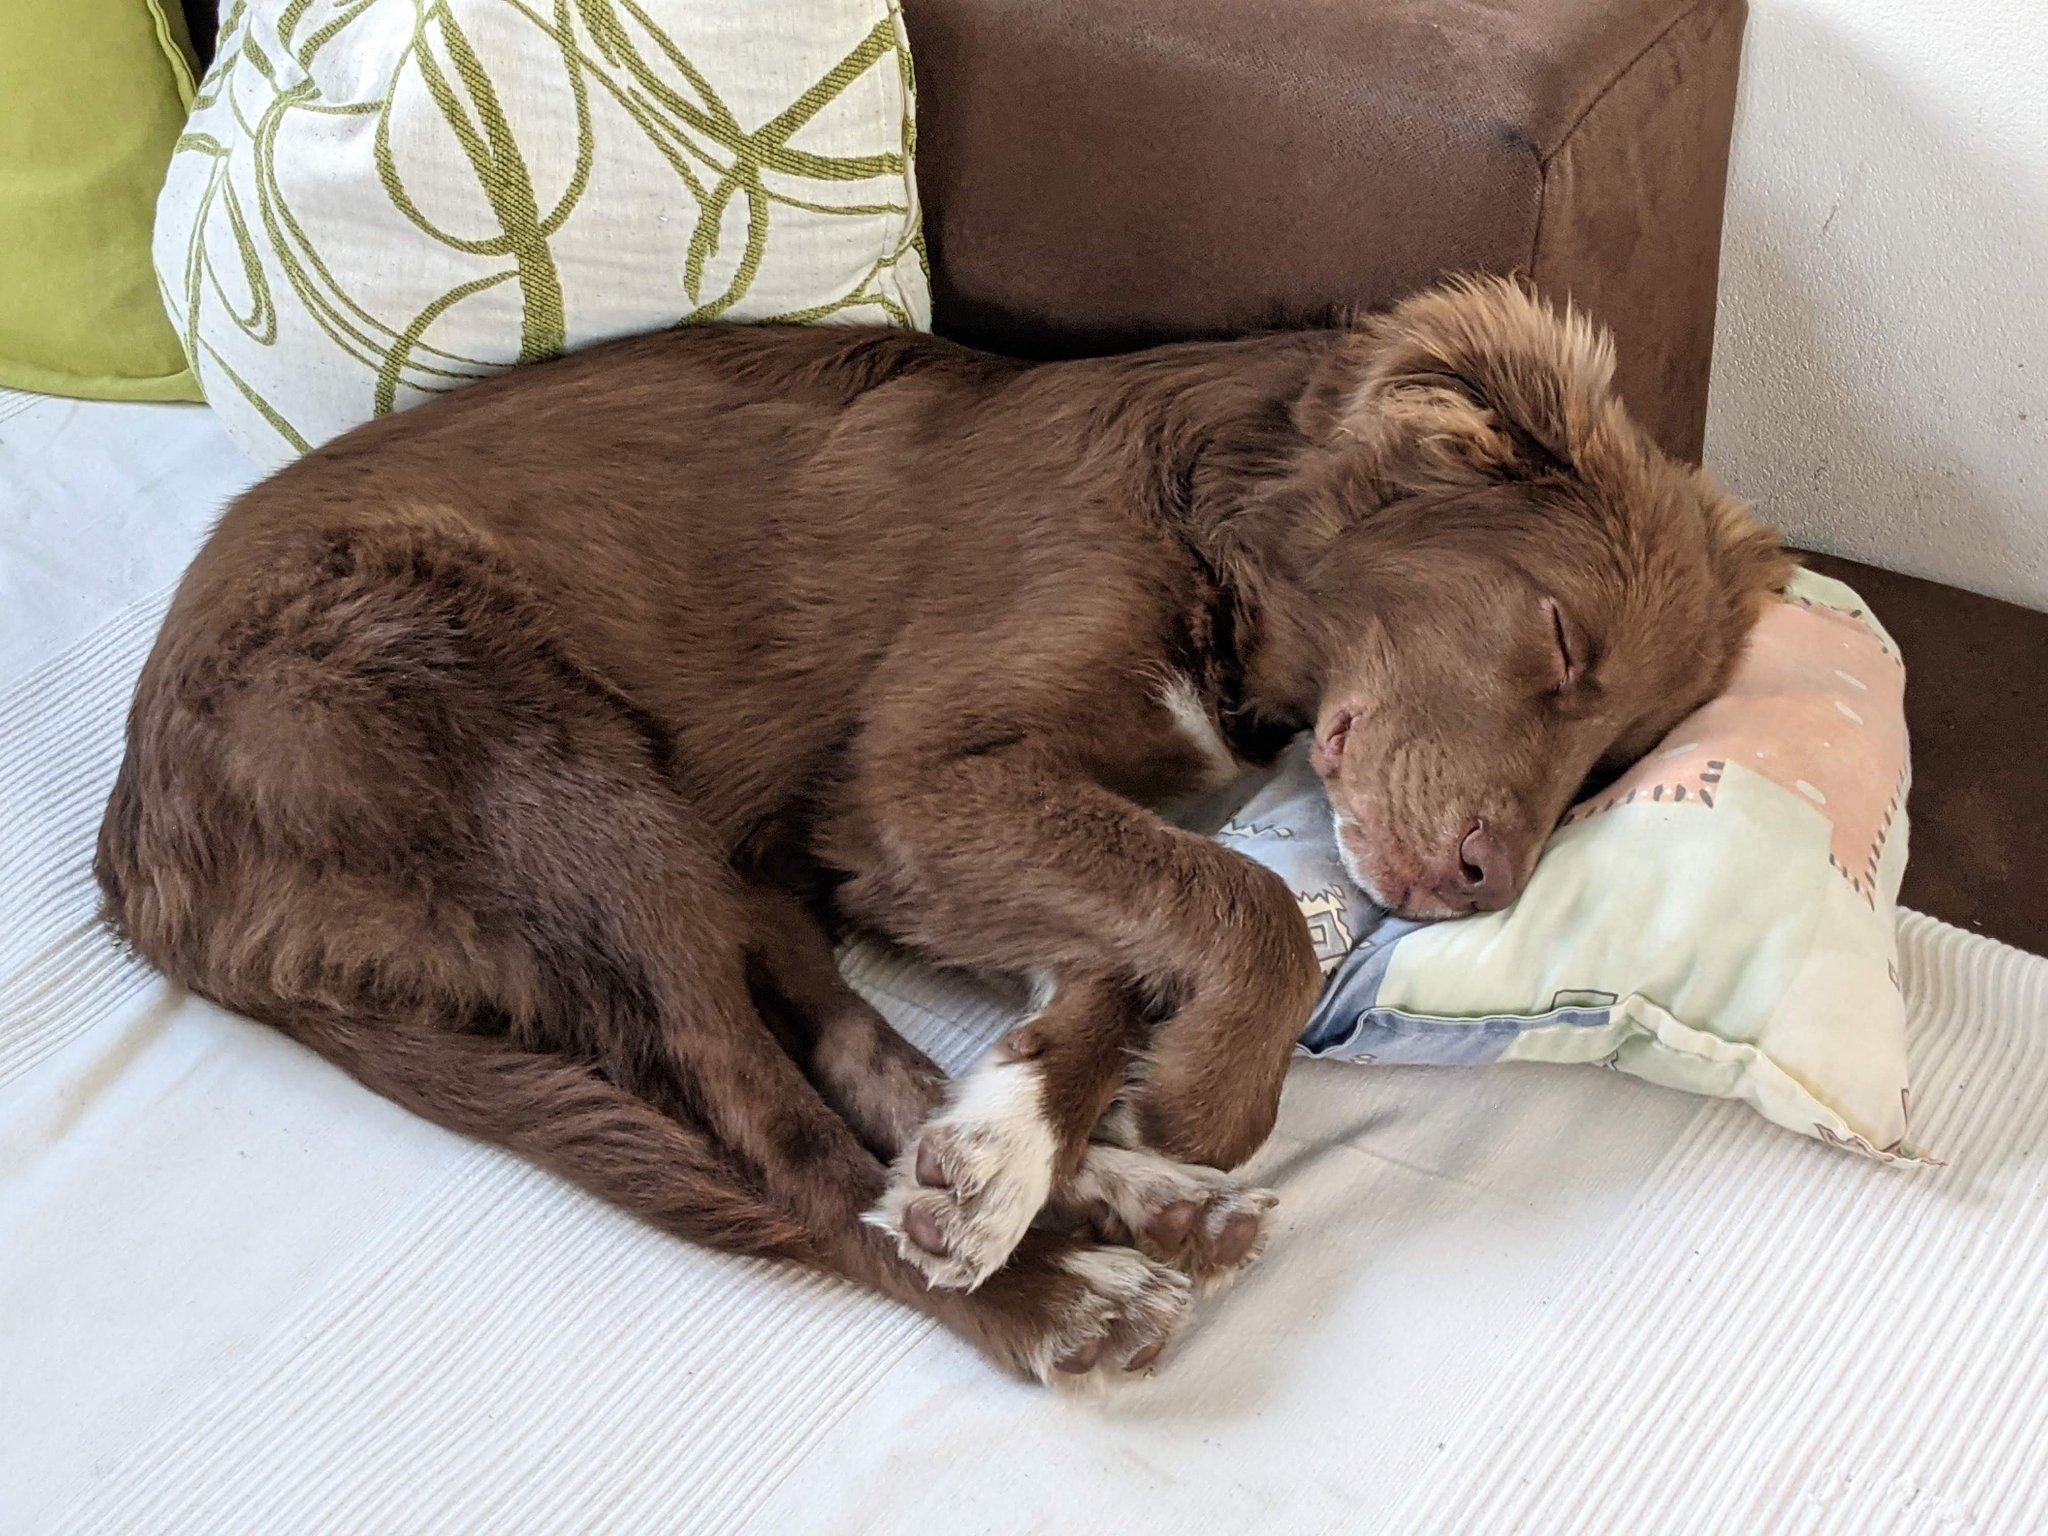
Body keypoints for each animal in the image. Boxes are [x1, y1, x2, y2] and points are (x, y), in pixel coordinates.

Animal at [99, 276, 1794, 1384]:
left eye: (1611, 763)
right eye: (1561, 637)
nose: (1482, 888)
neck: (1212, 533)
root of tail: (138, 867)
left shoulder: (910, 838)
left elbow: (1117, 962)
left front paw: (1017, 1149)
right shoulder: (919, 775)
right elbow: (1240, 904)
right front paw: (1206, 1106)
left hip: (726, 852)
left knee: (845, 1054)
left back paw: (1108, 1207)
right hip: (546, 766)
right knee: (770, 1139)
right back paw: (1060, 1305)